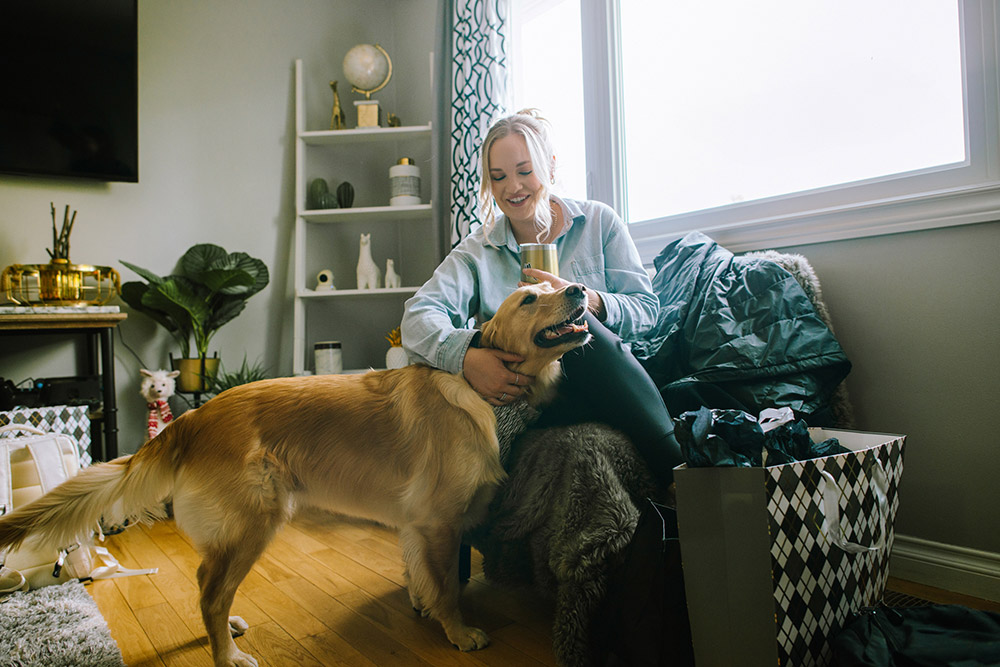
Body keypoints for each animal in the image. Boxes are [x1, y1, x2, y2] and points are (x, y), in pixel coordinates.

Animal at [0, 282, 592, 667]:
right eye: (529, 298)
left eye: (551, 286)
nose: (582, 289)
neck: (482, 393)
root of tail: (194, 417)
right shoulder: (439, 522)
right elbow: (447, 583)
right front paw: (459, 631)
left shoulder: (419, 526)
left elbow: (425, 579)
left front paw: (427, 611)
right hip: (255, 522)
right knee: (210, 592)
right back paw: (227, 655)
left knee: (206, 582)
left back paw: (227, 630)